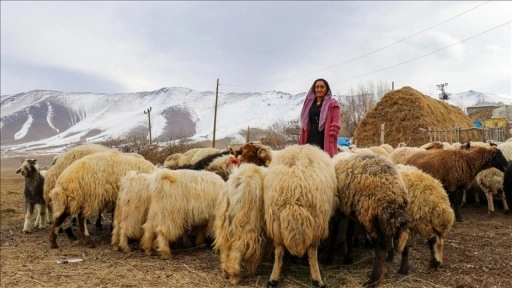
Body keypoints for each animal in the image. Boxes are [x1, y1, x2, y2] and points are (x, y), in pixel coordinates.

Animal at [262, 144, 338, 288]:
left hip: (276, 219)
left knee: (279, 250)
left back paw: (273, 278)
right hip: (317, 219)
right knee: (312, 251)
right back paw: (317, 279)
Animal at [332, 153, 412, 288]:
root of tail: (393, 192)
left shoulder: (341, 212)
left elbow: (337, 233)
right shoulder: (351, 214)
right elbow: (349, 233)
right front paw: (348, 257)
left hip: (372, 216)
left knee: (380, 247)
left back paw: (374, 279)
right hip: (392, 218)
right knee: (405, 237)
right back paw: (404, 268)